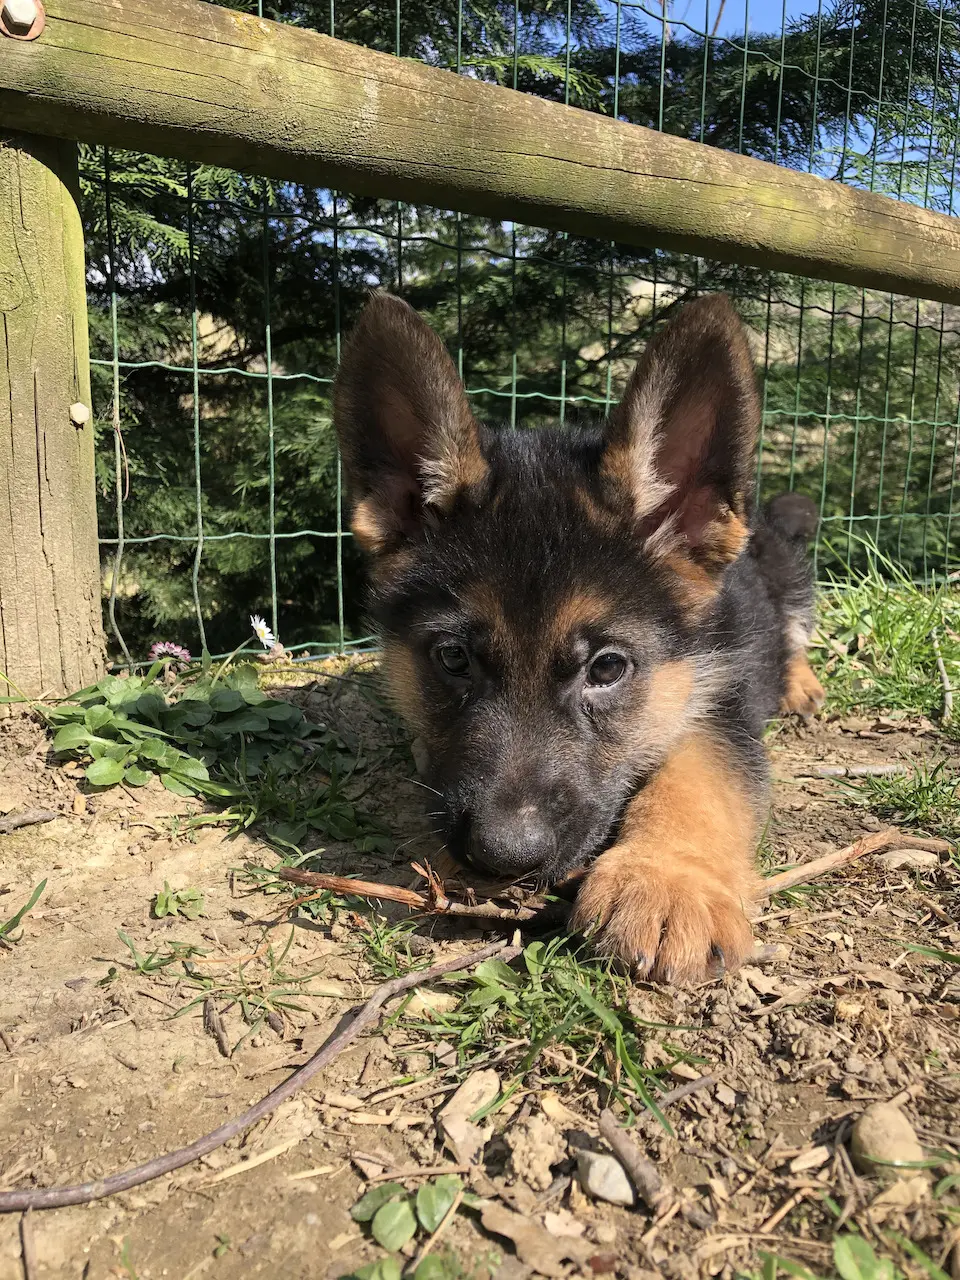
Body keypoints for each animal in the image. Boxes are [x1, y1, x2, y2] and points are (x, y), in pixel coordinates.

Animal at [335, 294, 824, 983]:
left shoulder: (720, 698)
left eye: (608, 668)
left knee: (795, 630)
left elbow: (697, 777)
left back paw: (800, 682)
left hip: (788, 575)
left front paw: (666, 880)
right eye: (453, 658)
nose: (505, 856)